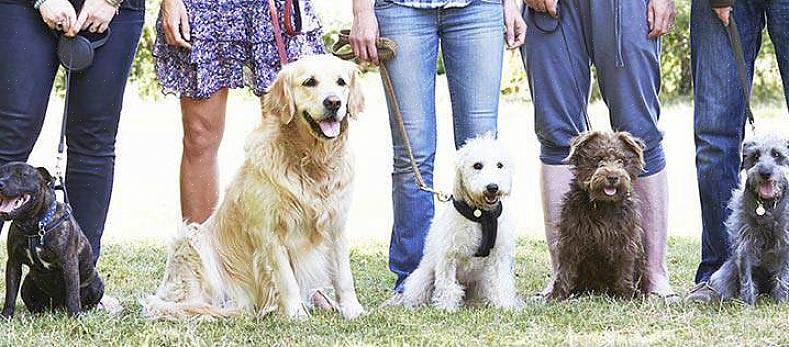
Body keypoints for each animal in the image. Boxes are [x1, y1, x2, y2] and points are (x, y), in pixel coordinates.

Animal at [0, 162, 103, 320]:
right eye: (1, 172)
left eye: (22, 174)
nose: (0, 182)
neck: (34, 225)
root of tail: (58, 306)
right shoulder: (13, 263)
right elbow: (10, 294)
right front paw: (6, 316)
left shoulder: (69, 264)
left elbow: (73, 294)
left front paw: (75, 317)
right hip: (27, 285)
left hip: (97, 284)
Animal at [404, 135, 520, 312]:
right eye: (477, 165)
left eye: (500, 165)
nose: (493, 187)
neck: (481, 215)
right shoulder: (449, 255)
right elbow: (447, 285)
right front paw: (447, 308)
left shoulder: (499, 255)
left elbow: (501, 282)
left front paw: (505, 306)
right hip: (423, 277)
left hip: (482, 281)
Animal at [544, 132, 648, 300]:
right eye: (598, 159)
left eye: (621, 161)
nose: (613, 176)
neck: (603, 204)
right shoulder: (570, 238)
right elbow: (565, 268)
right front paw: (558, 295)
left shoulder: (625, 240)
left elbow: (624, 268)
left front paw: (626, 296)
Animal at [684, 135, 788, 306]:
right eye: (755, 156)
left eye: (777, 155)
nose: (765, 173)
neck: (767, 207)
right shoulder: (745, 245)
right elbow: (746, 278)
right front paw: (748, 304)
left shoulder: (785, 244)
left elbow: (783, 277)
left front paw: (781, 301)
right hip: (725, 272)